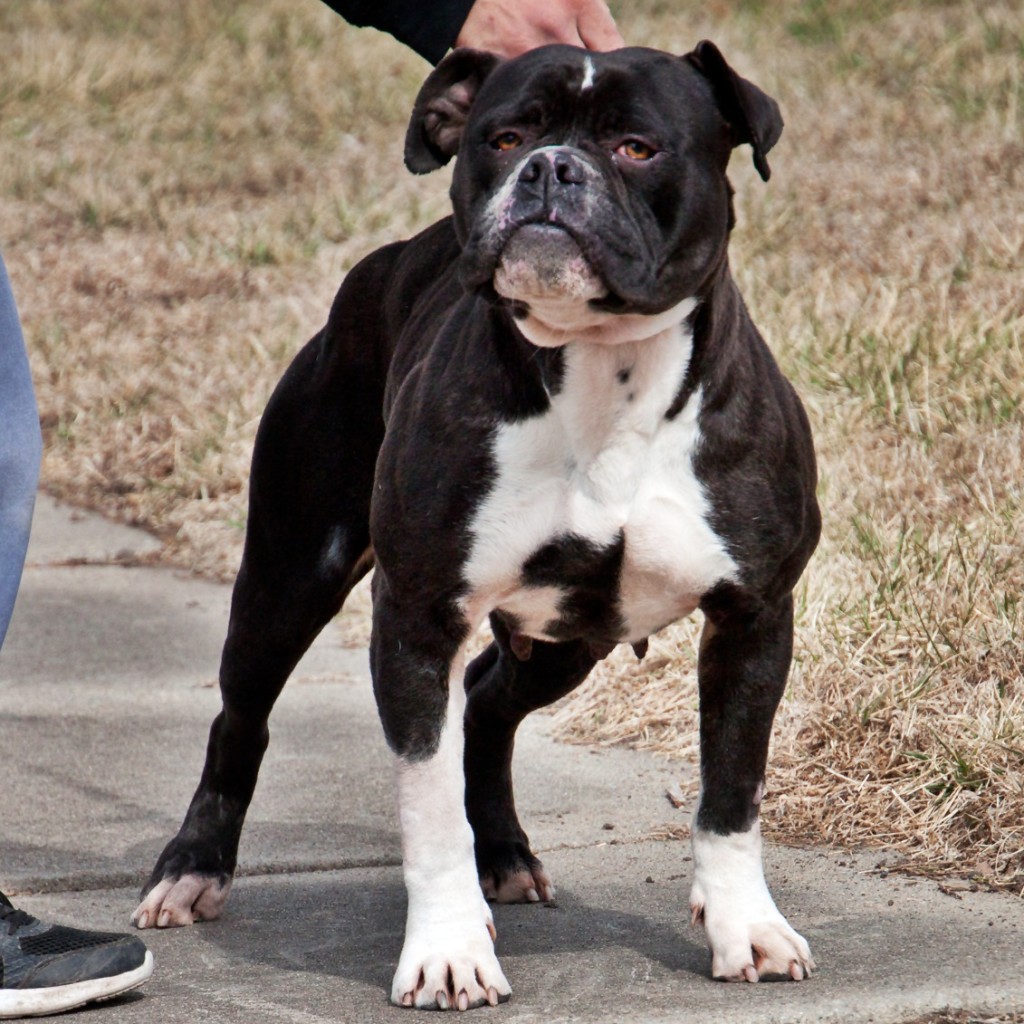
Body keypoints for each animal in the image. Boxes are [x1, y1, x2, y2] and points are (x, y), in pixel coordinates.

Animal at [138, 41, 823, 1007]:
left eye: (637, 147)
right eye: (504, 138)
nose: (549, 168)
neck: (603, 371)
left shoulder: (754, 618)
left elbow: (733, 791)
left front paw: (746, 929)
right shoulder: (417, 617)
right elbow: (428, 808)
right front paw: (449, 952)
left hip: (569, 638)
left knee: (491, 706)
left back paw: (503, 852)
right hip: (289, 575)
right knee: (242, 715)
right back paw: (194, 868)